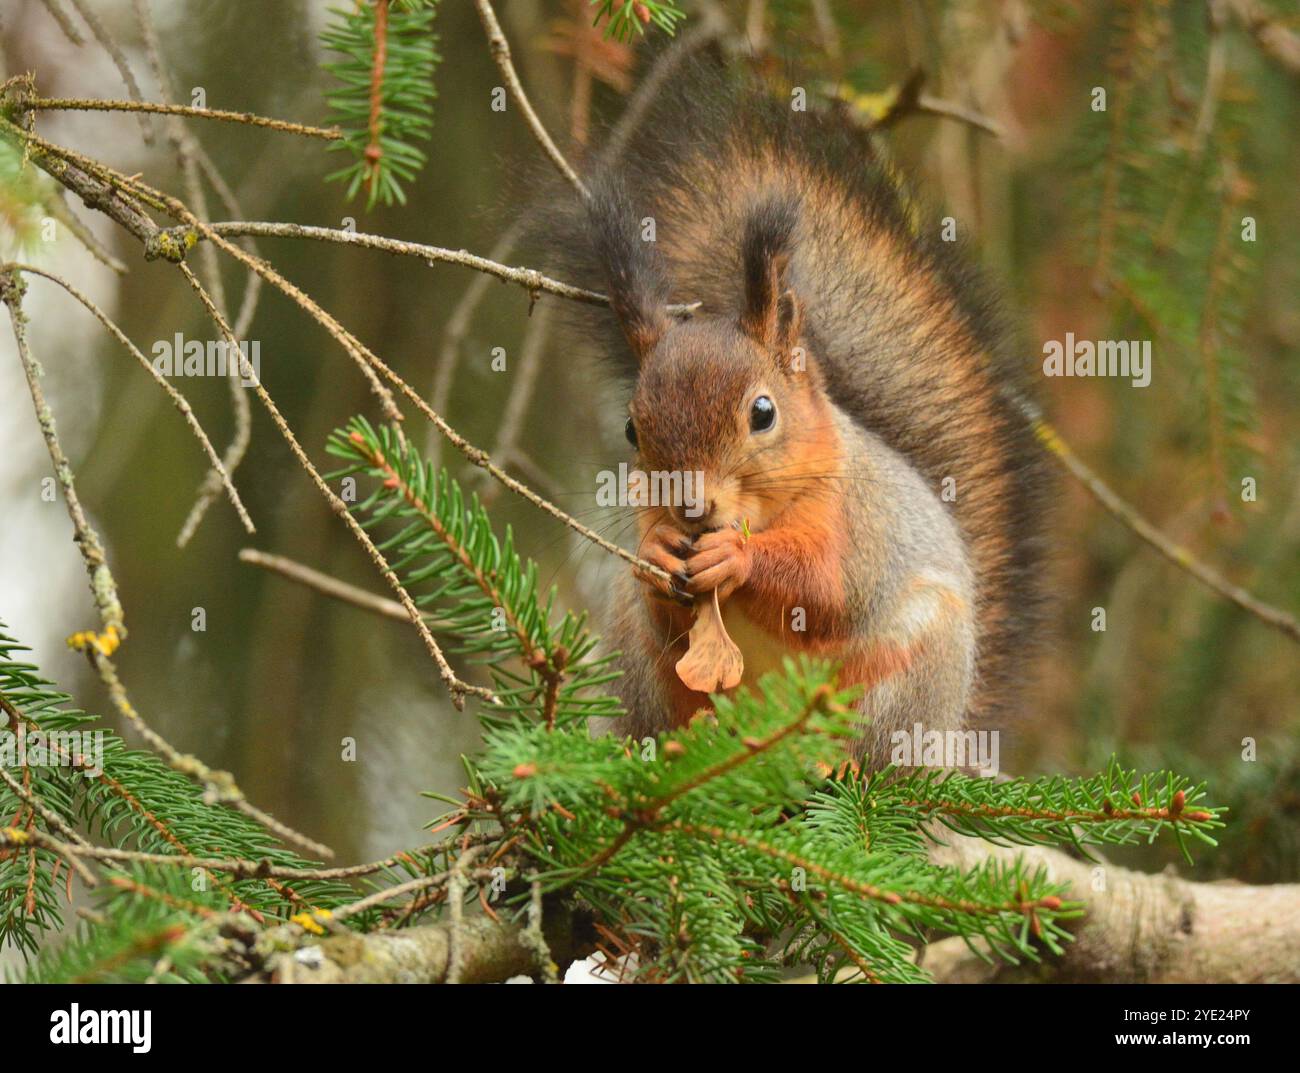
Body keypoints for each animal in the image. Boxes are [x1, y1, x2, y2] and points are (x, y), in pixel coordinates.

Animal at [540, 64, 1049, 769]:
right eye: (631, 429)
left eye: (763, 413)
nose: (691, 508)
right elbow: (663, 602)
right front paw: (659, 552)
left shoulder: (860, 525)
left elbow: (829, 594)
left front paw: (737, 556)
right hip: (638, 665)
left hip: (912, 670)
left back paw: (835, 763)